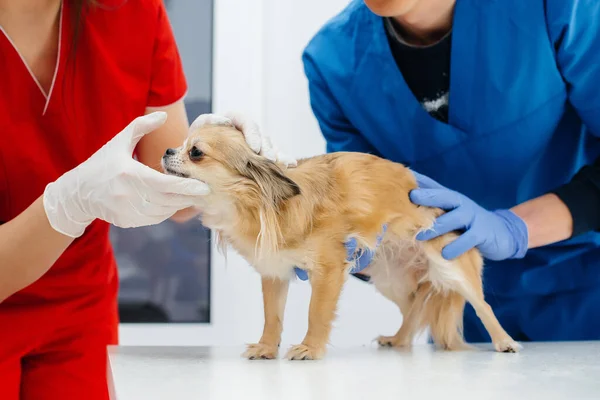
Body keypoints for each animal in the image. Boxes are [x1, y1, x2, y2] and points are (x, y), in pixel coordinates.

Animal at [163, 121, 520, 360]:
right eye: (179, 143)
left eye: (195, 152)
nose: (166, 150)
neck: (262, 204)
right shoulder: (275, 273)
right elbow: (272, 316)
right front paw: (266, 347)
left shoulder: (328, 270)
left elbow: (316, 312)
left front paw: (310, 348)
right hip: (390, 279)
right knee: (413, 311)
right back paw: (398, 340)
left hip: (448, 263)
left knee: (483, 305)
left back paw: (504, 341)